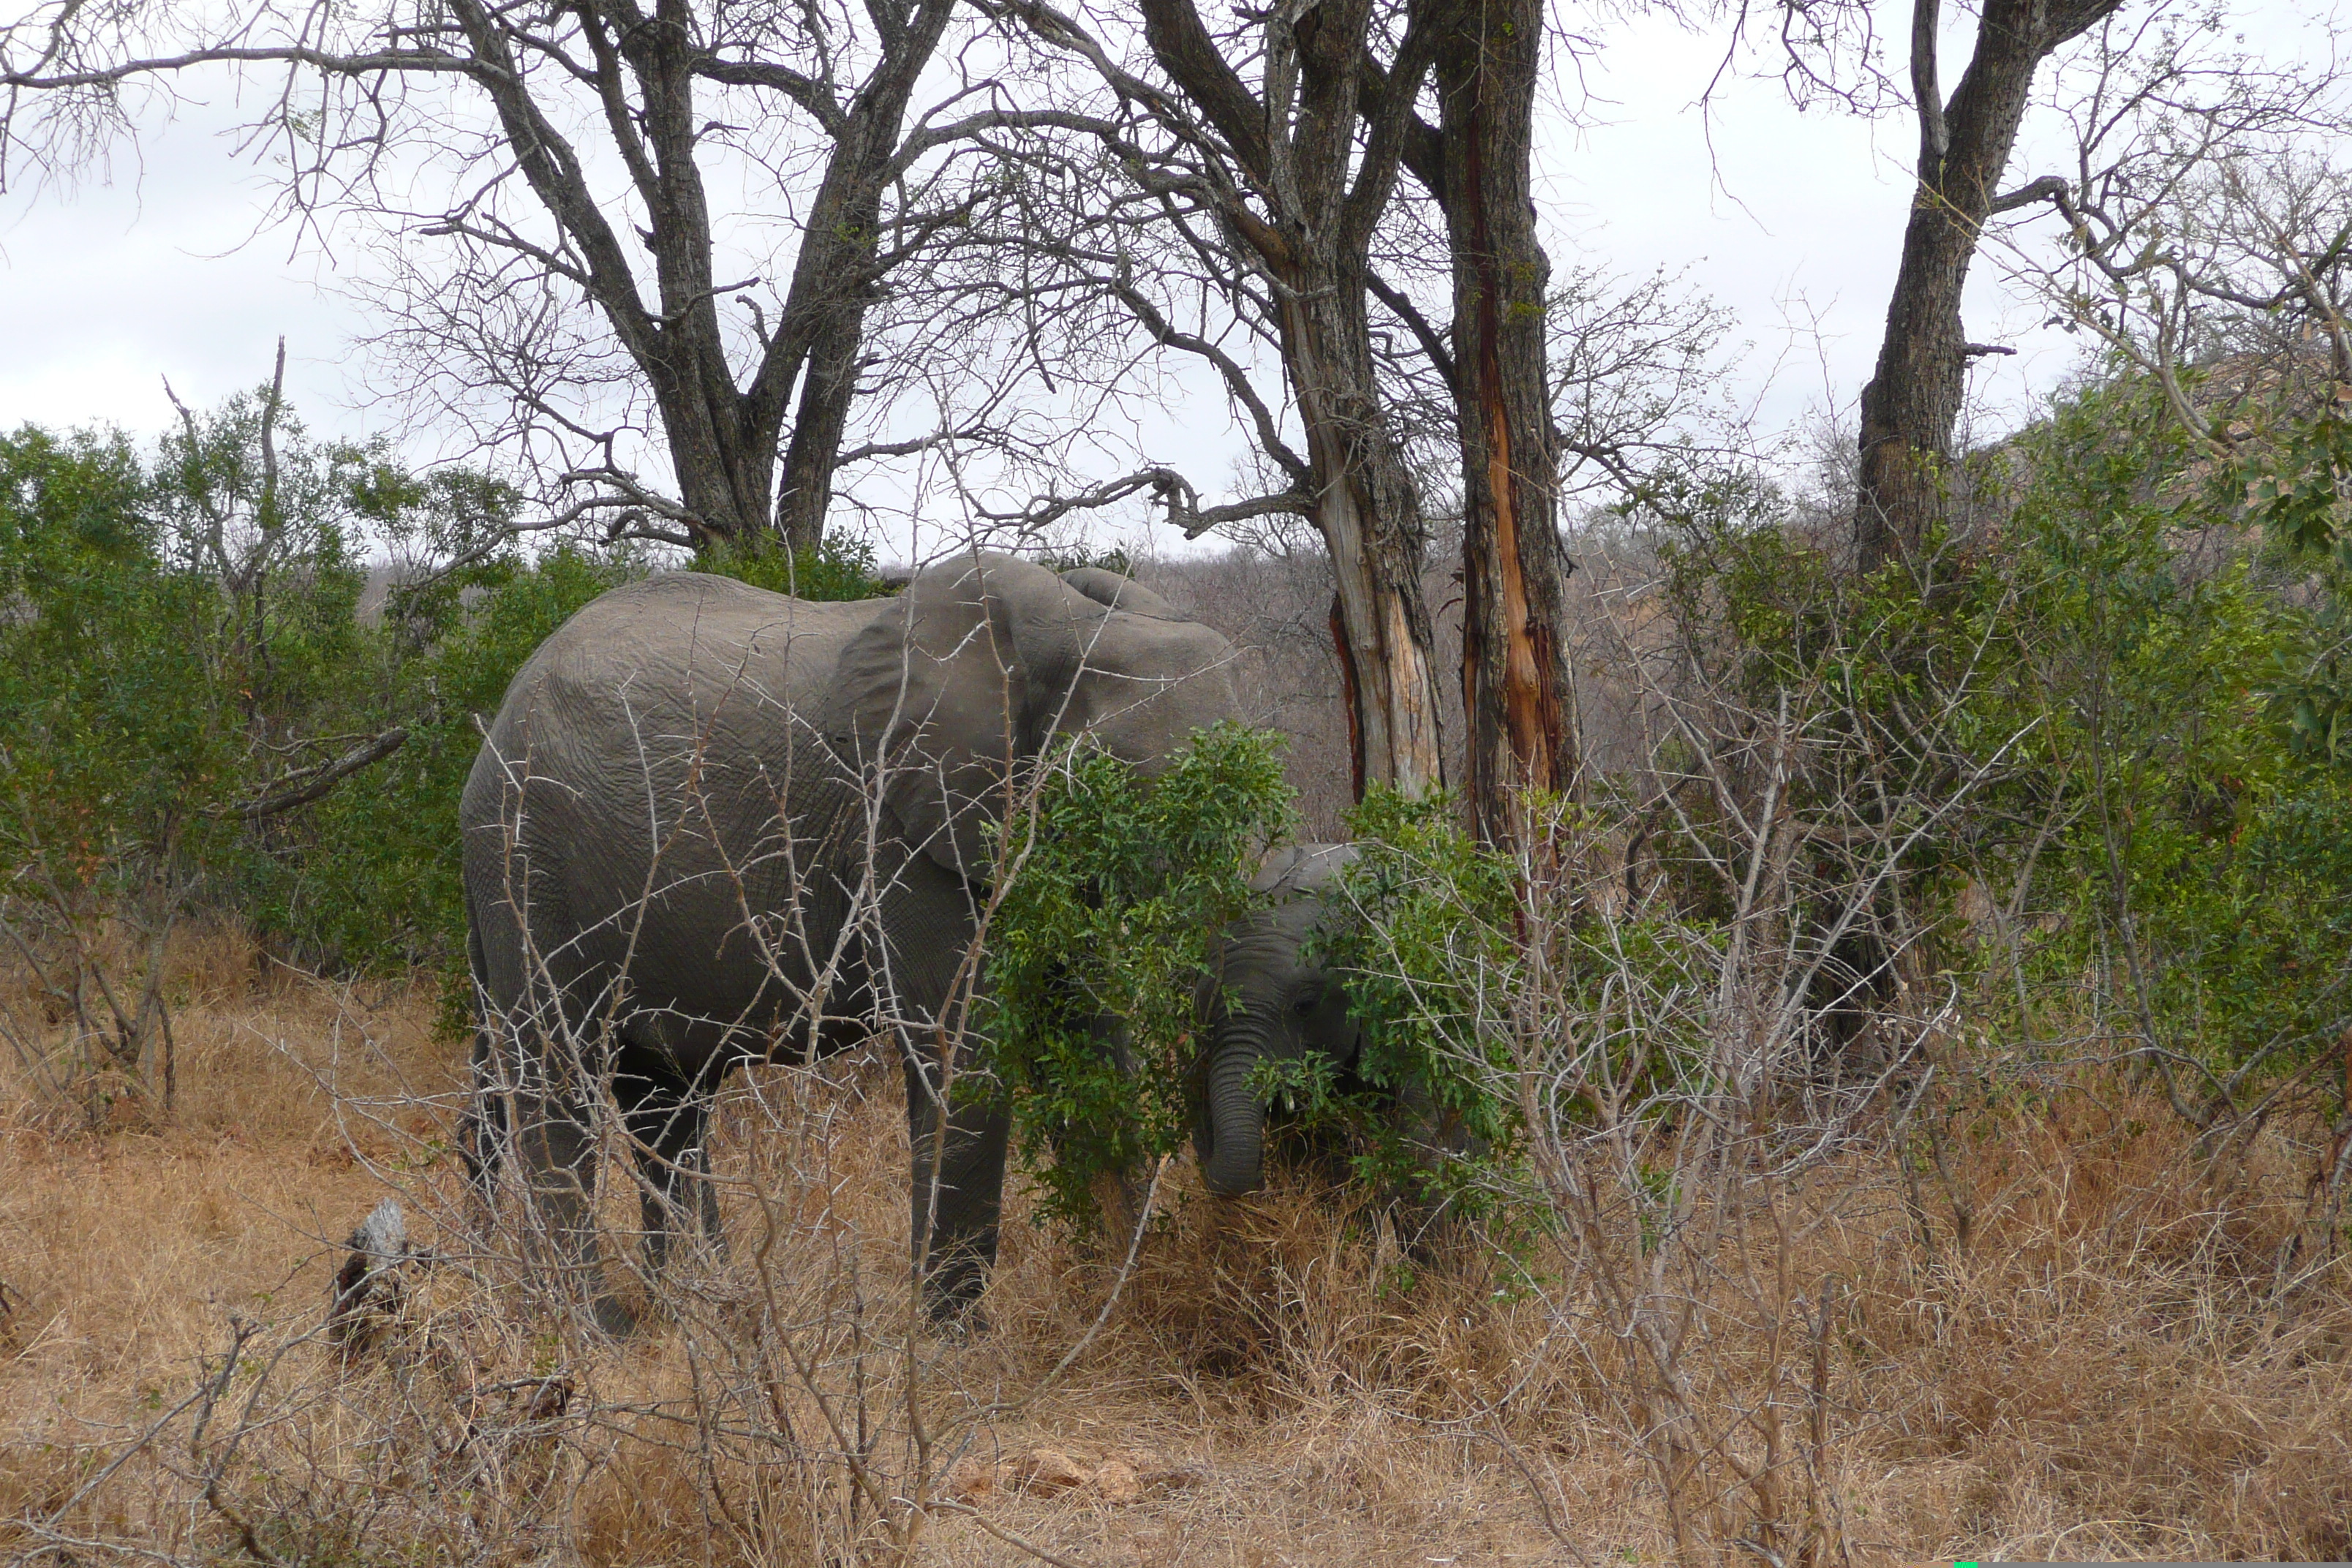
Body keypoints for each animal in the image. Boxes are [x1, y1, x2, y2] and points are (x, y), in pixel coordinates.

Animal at [456, 550, 1364, 1325]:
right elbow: (966, 1037)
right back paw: (601, 1329)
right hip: (530, 857)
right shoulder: (902, 823)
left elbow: (1087, 1028)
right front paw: (956, 1338)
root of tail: (495, 720)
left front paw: (1116, 1301)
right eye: (1142, 804)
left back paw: (702, 1316)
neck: (1067, 628)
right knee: (558, 1077)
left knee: (660, 1098)